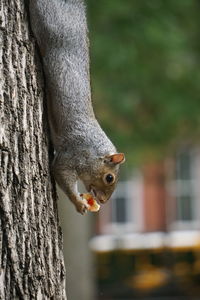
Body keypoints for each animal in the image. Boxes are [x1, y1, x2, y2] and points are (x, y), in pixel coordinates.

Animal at [28, 1, 125, 214]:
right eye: (110, 178)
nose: (103, 200)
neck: (93, 149)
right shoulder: (73, 155)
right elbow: (60, 172)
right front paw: (79, 203)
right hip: (50, 22)